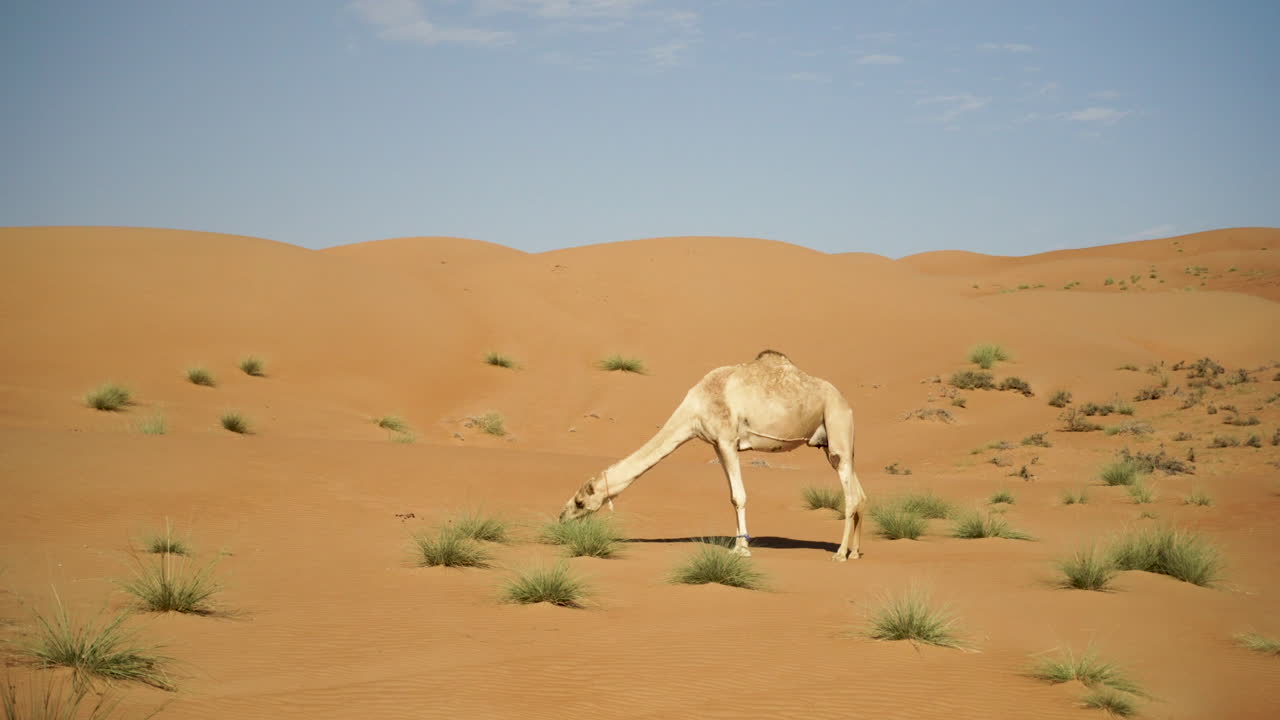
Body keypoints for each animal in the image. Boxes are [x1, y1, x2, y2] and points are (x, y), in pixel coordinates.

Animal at [559, 350, 867, 561]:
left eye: (580, 501)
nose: (562, 517)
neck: (695, 408)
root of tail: (847, 404)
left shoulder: (727, 439)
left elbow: (738, 496)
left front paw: (741, 549)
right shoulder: (716, 444)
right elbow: (732, 495)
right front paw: (740, 545)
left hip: (837, 425)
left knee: (850, 497)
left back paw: (840, 554)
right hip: (832, 442)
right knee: (860, 494)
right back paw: (855, 552)